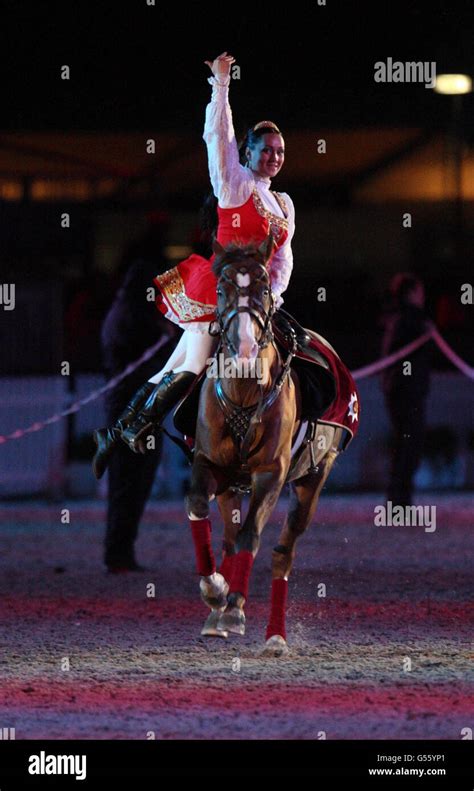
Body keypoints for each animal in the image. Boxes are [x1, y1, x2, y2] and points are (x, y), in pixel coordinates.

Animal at [185, 234, 344, 656]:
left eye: (265, 289)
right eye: (220, 289)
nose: (243, 350)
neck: (243, 391)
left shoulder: (271, 474)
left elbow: (251, 537)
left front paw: (234, 607)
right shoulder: (208, 463)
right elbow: (199, 510)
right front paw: (215, 591)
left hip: (312, 479)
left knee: (281, 554)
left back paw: (274, 634)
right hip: (229, 487)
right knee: (227, 539)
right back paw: (219, 610)